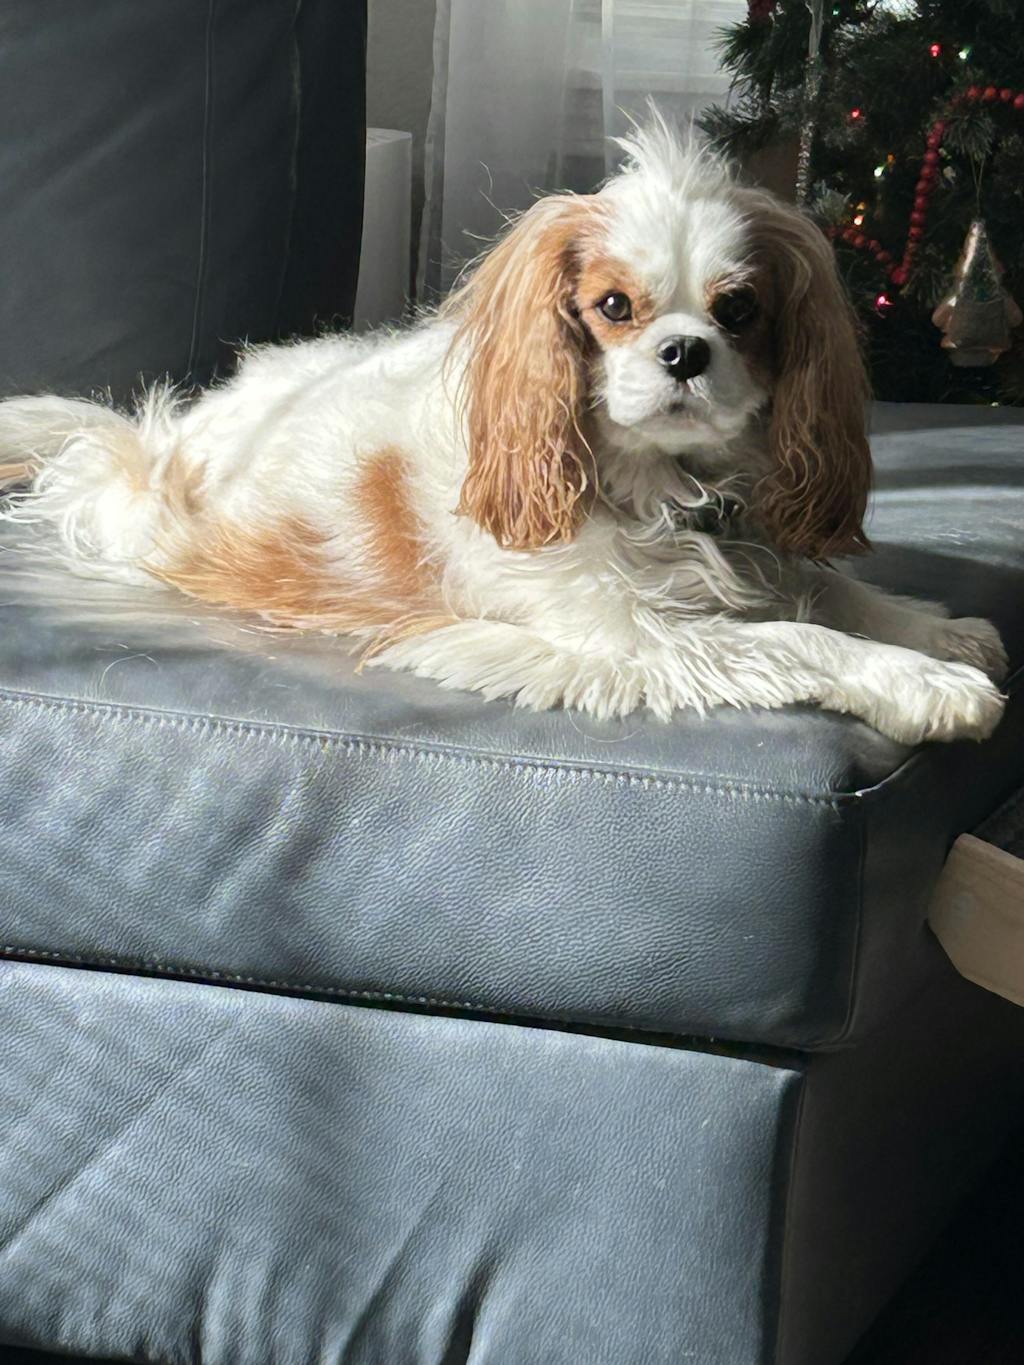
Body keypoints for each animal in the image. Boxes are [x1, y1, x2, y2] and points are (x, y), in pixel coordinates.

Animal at [0, 117, 1007, 744]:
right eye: (613, 307)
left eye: (740, 309)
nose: (685, 351)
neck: (666, 490)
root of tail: (156, 439)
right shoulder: (631, 635)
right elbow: (798, 639)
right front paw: (923, 684)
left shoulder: (756, 545)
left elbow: (829, 589)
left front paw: (940, 632)